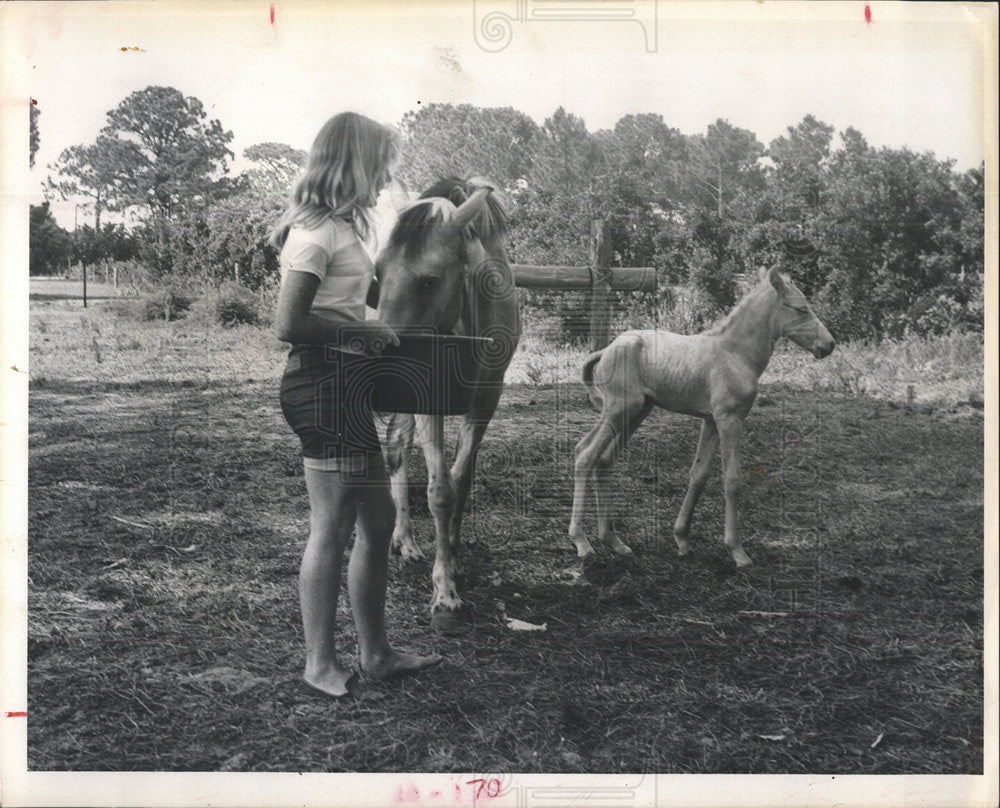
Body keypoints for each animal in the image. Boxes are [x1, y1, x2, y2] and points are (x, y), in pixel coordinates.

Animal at [376, 178, 524, 624]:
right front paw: (445, 594)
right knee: (394, 449)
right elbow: (440, 490)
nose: (379, 356)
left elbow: (462, 477)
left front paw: (454, 558)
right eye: (377, 274)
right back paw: (403, 541)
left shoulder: (487, 400)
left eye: (428, 281)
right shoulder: (430, 400)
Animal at [572, 266, 836, 568]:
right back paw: (582, 542)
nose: (829, 344)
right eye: (802, 308)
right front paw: (737, 551)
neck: (735, 354)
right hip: (619, 410)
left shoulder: (710, 421)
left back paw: (614, 541)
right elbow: (732, 480)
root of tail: (607, 349)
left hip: (637, 412)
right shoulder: (729, 419)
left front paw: (682, 539)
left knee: (604, 461)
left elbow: (698, 474)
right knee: (585, 454)